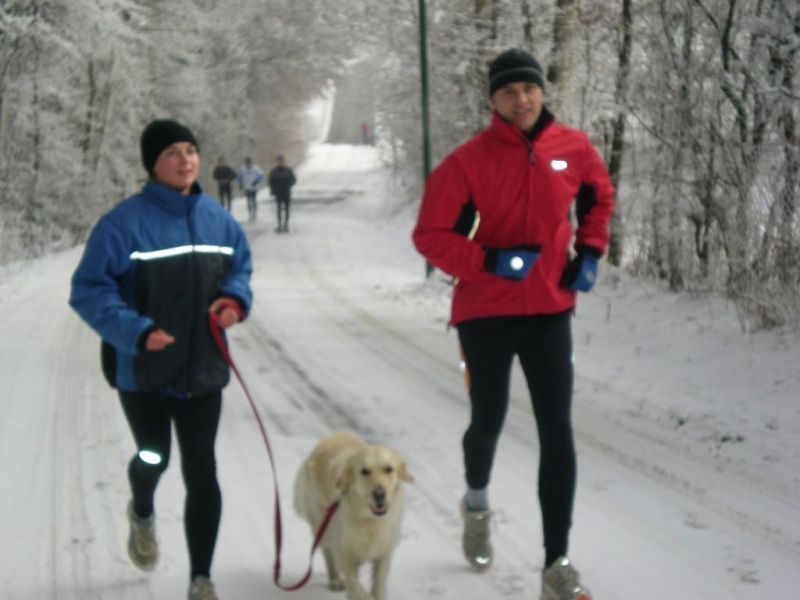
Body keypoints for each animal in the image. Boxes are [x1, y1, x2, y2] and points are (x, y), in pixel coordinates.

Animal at [296, 432, 416, 600]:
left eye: (388, 469)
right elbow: (356, 587)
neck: (370, 519)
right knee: (328, 553)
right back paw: (335, 580)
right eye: (364, 471)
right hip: (322, 523)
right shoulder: (345, 555)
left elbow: (378, 586)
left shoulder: (384, 553)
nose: (379, 494)